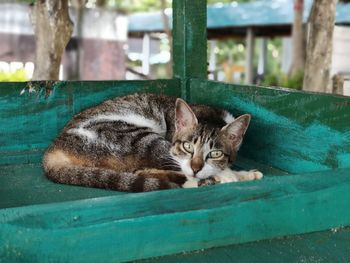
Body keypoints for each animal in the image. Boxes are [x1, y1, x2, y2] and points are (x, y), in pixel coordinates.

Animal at [43, 94, 262, 193]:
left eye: (215, 153)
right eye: (188, 147)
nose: (196, 168)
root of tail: (53, 150)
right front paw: (234, 175)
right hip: (138, 138)